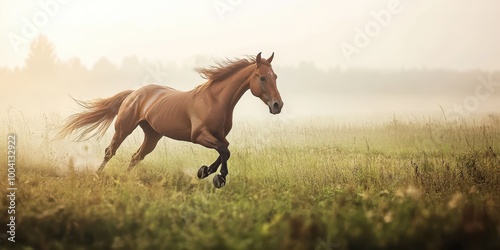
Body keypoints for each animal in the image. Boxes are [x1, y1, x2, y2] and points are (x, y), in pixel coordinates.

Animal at [56, 52, 284, 188]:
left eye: (275, 77)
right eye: (262, 77)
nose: (277, 105)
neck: (215, 100)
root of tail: (134, 93)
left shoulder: (219, 135)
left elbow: (225, 150)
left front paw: (206, 171)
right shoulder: (199, 136)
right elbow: (224, 151)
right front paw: (217, 177)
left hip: (152, 136)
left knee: (136, 157)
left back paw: (127, 178)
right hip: (124, 128)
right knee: (110, 152)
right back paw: (97, 176)